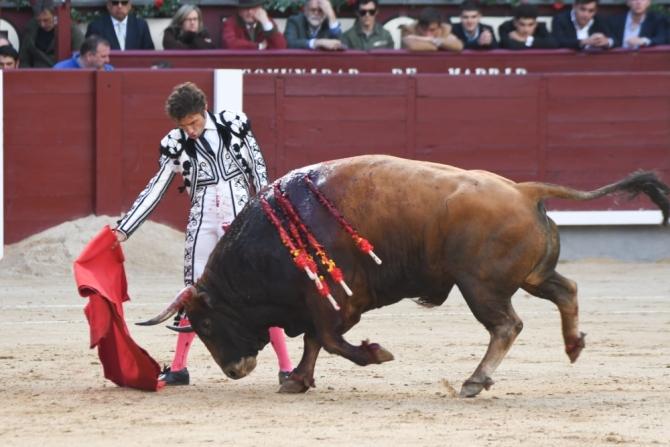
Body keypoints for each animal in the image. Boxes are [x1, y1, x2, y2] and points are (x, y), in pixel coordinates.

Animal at [138, 156, 670, 398]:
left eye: (207, 324)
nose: (234, 369)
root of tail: (523, 189)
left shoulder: (335, 302)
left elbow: (329, 340)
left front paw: (376, 354)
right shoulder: (319, 302)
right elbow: (313, 341)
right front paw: (298, 381)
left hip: (480, 286)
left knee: (506, 325)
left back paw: (475, 381)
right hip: (529, 276)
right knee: (566, 289)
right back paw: (574, 344)